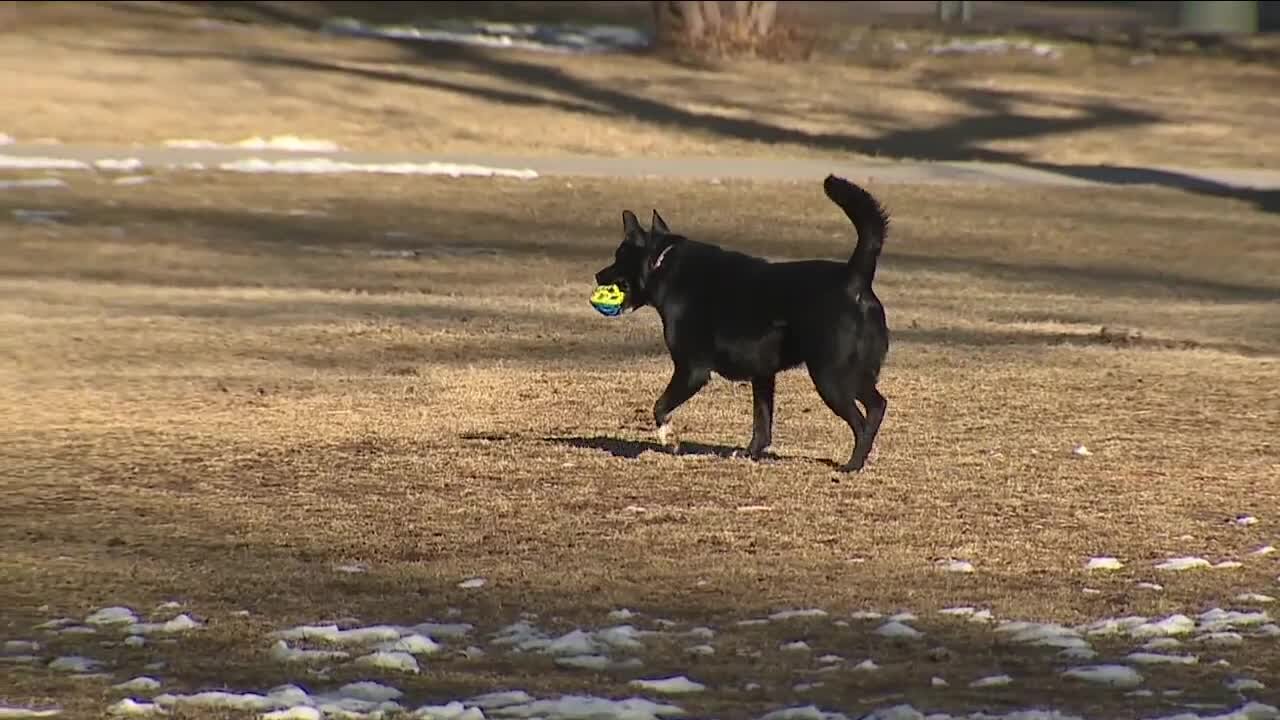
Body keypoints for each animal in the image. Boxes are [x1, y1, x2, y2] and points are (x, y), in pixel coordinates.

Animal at [591, 174, 885, 471]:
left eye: (618, 257)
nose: (597, 275)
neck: (663, 264)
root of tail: (854, 277)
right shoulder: (763, 375)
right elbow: (762, 425)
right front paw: (749, 454)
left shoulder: (691, 370)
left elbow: (660, 406)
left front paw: (668, 438)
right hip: (856, 372)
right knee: (877, 406)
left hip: (830, 375)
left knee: (861, 422)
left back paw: (852, 465)